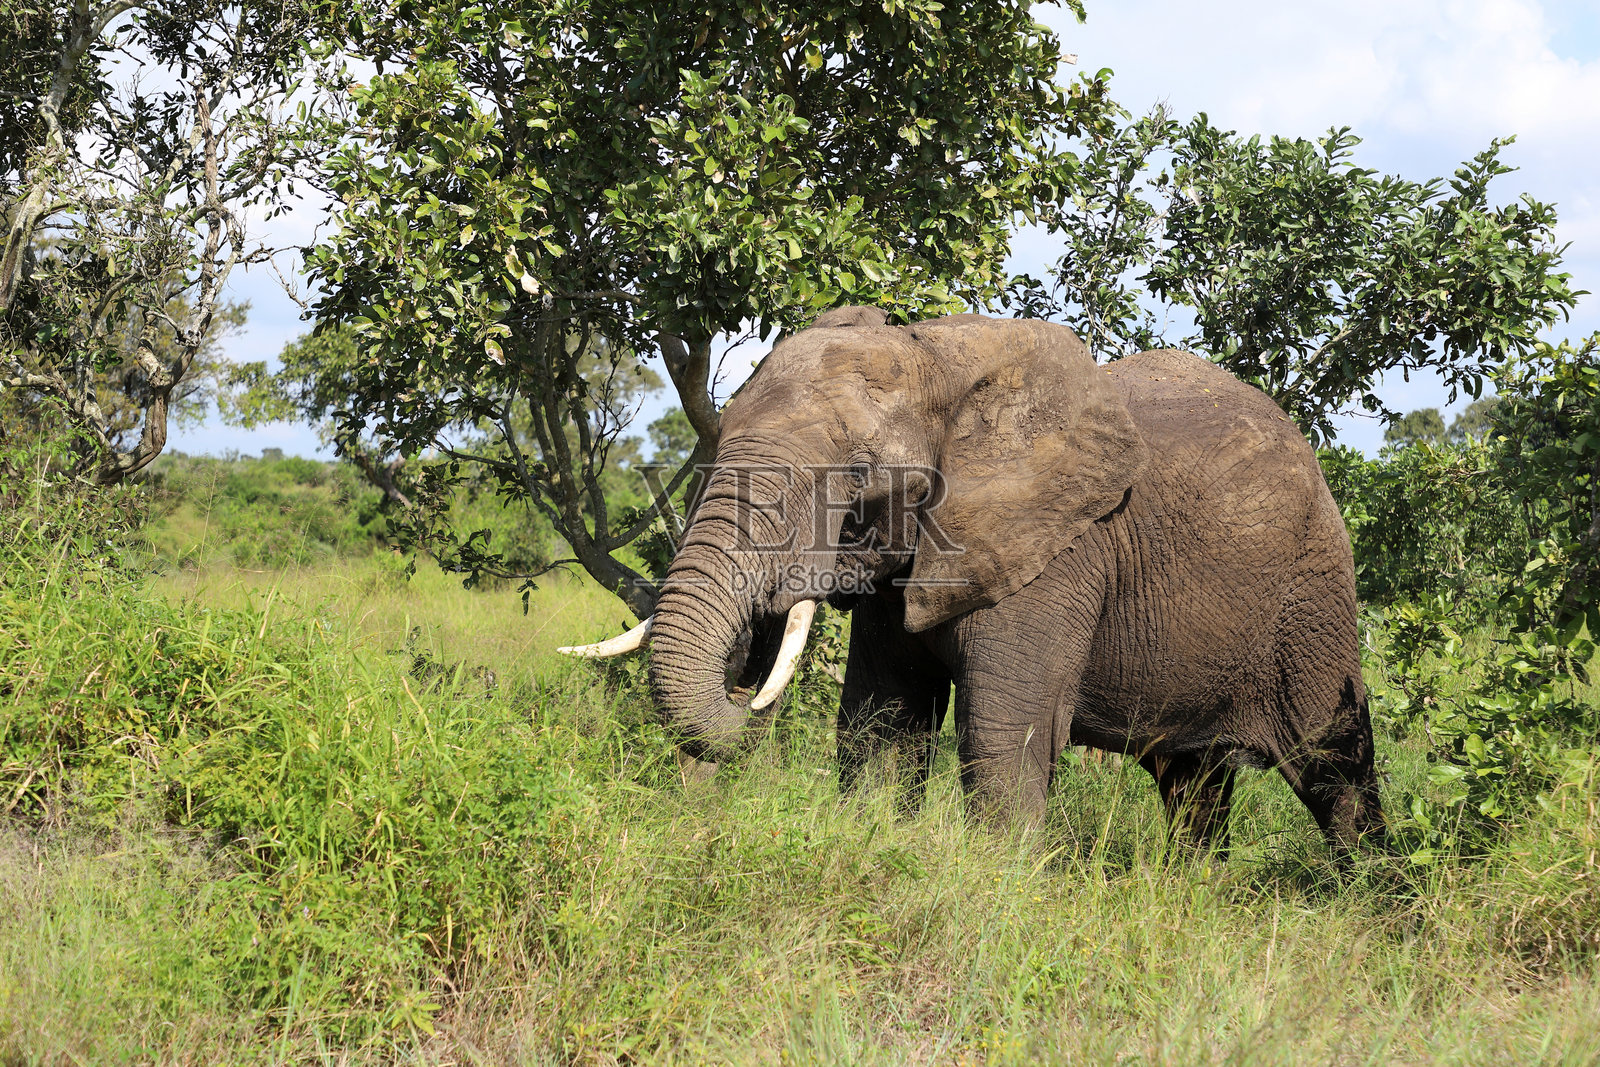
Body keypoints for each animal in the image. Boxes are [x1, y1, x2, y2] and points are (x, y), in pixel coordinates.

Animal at [562, 308, 1385, 857]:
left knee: (1336, 767)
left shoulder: (1056, 553)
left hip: (1314, 596)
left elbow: (1001, 738)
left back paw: (1370, 900)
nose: (750, 676)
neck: (942, 354)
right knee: (1192, 783)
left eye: (860, 477)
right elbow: (884, 727)